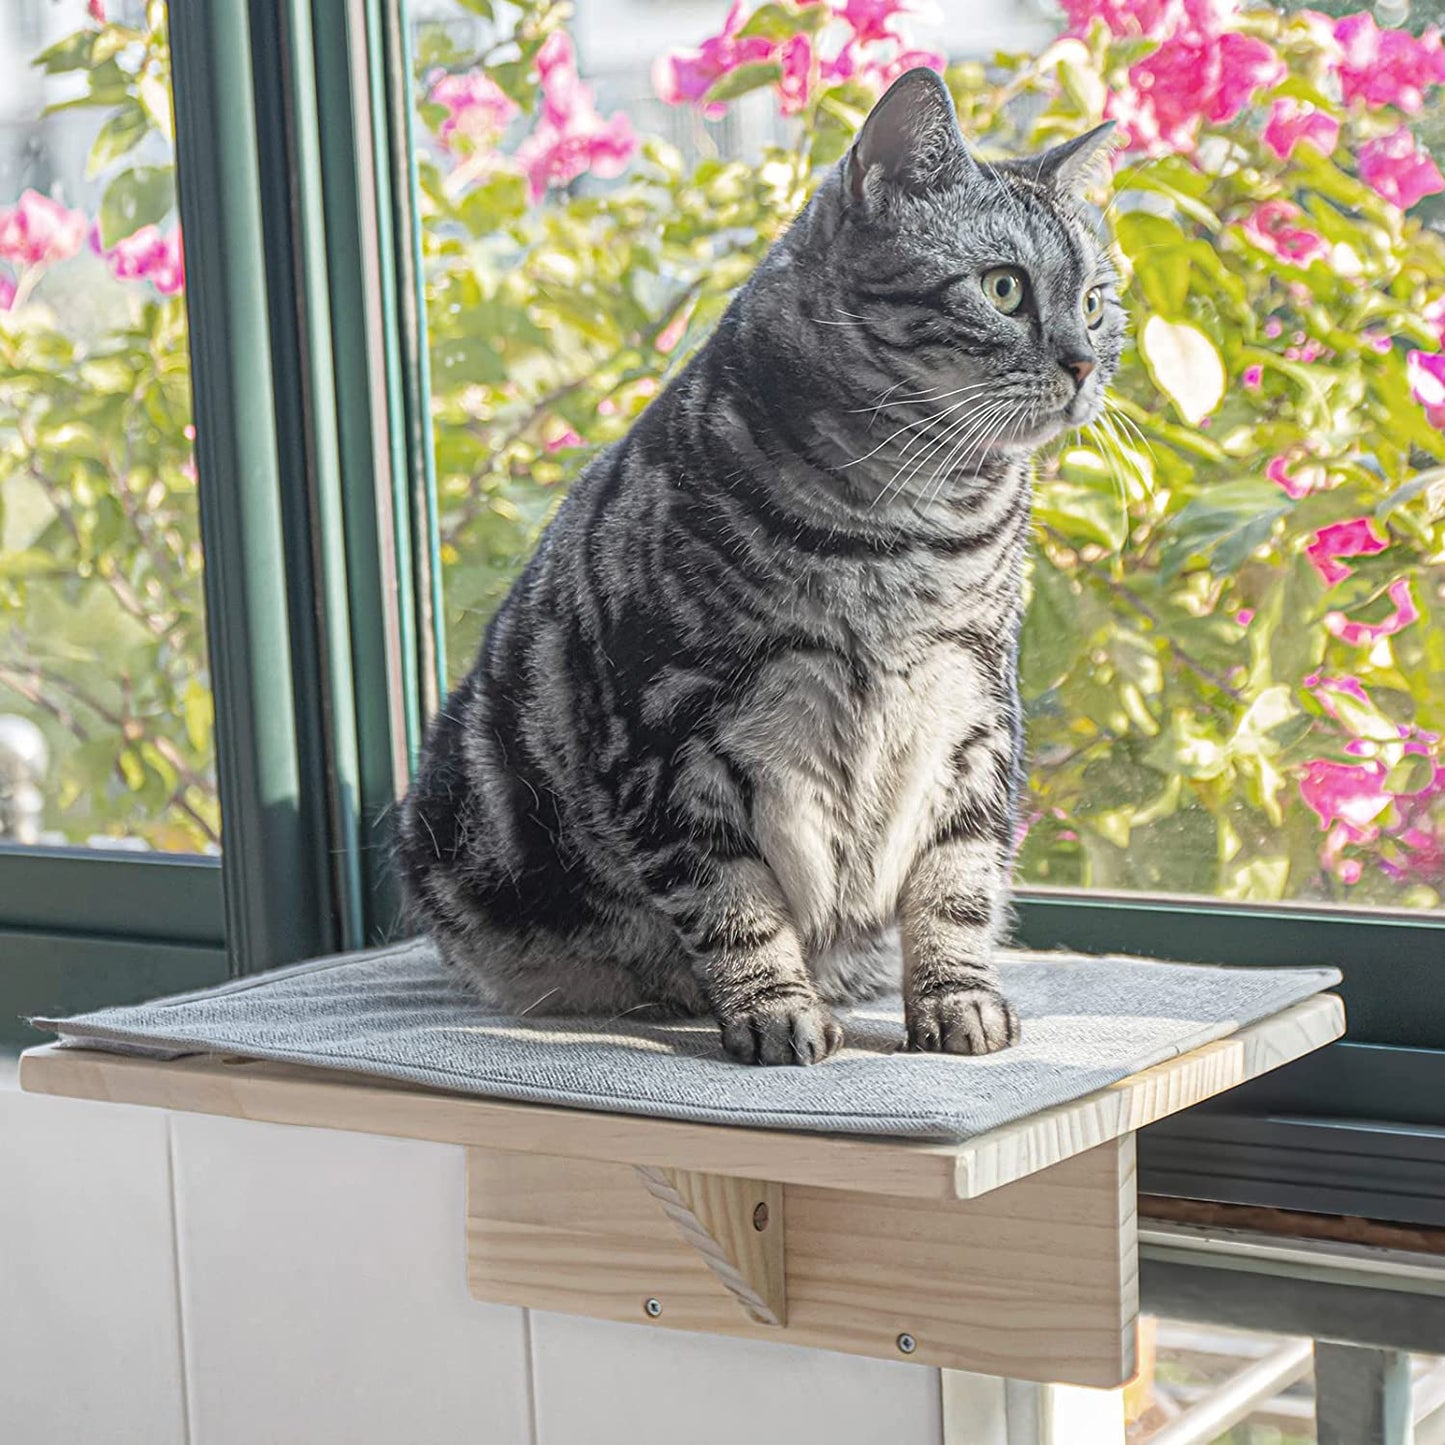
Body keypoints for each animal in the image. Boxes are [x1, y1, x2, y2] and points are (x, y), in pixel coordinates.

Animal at [401, 67, 1121, 1063]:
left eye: (1094, 301)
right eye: (1004, 288)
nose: (1084, 362)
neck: (904, 529)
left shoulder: (974, 713)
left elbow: (956, 887)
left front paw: (956, 999)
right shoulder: (670, 736)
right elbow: (732, 900)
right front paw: (775, 1009)